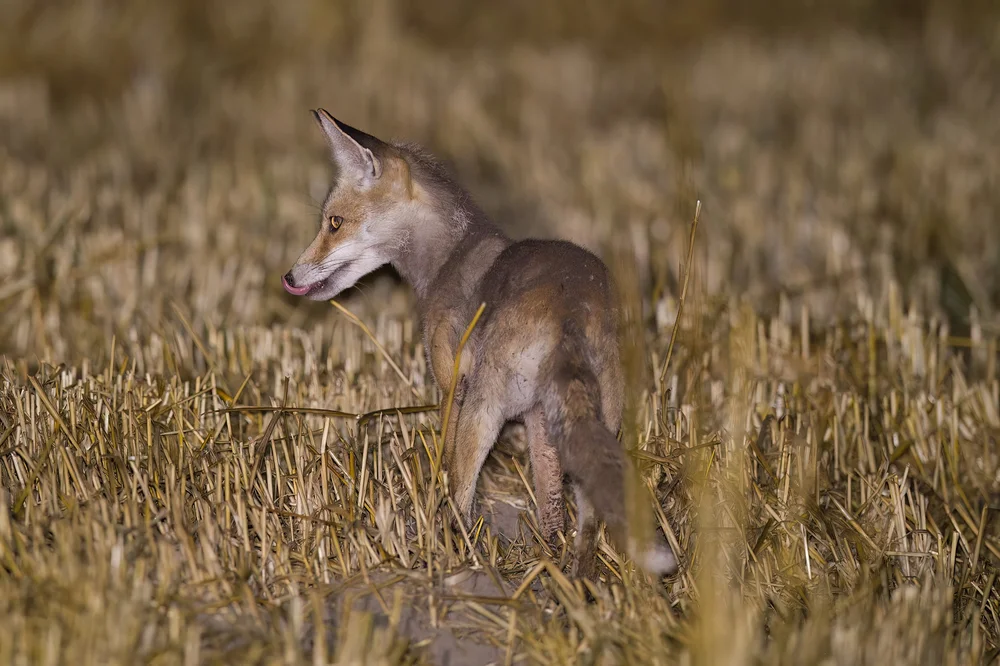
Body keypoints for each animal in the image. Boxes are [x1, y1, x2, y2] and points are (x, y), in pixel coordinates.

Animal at [282, 109, 678, 578]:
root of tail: (571, 309)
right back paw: (572, 578)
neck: (448, 258)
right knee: (574, 522)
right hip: (580, 426)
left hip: (484, 410)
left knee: (463, 494)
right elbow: (552, 504)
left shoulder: (452, 385)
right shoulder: (536, 419)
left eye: (334, 223)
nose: (289, 277)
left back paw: (454, 551)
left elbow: (445, 462)